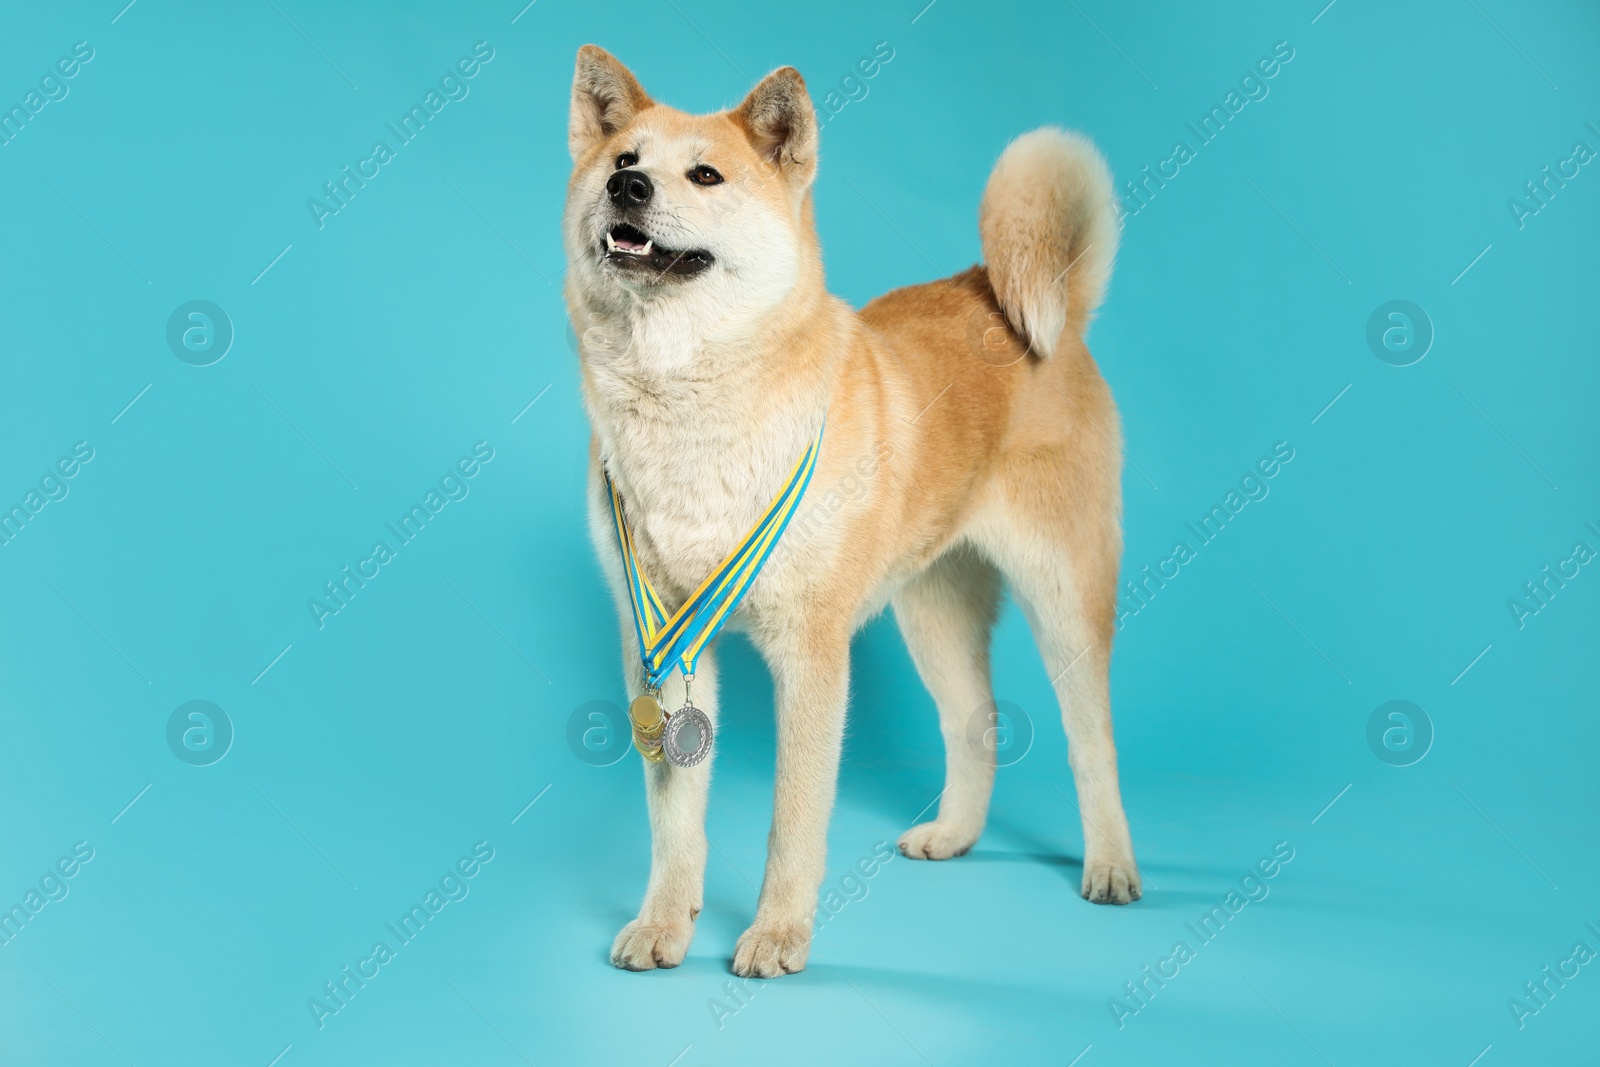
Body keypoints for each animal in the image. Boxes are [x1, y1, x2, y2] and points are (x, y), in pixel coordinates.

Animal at [563, 43, 1139, 979]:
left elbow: (792, 819)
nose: (628, 189)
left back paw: (1111, 866)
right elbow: (675, 816)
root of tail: (1014, 295)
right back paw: (954, 833)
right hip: (933, 607)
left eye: (705, 174)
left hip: (1065, 597)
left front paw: (776, 933)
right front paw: (664, 921)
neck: (688, 401)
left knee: (1093, 742)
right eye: (622, 160)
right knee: (974, 723)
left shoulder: (811, 655)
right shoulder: (661, 645)